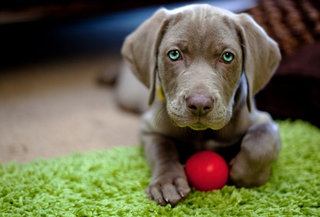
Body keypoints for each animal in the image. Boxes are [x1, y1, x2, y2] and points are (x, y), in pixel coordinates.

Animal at [119, 4, 282, 206]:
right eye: (174, 54)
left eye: (227, 57)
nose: (199, 104)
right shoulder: (149, 129)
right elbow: (162, 149)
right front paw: (167, 183)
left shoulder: (263, 120)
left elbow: (260, 144)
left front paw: (246, 175)